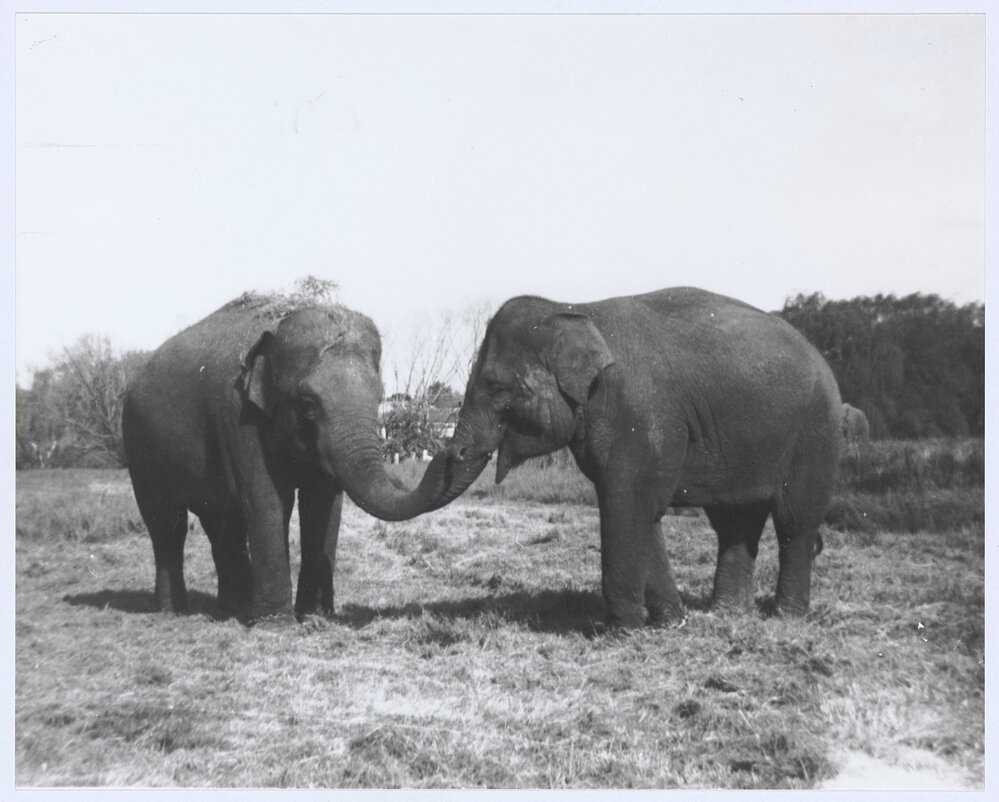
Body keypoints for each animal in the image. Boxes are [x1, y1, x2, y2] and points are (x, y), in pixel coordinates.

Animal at [122, 291, 448, 624]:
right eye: (308, 403)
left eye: (380, 397)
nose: (447, 453)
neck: (278, 326)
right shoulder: (238, 413)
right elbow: (268, 499)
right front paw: (276, 622)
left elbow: (321, 502)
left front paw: (314, 616)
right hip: (139, 447)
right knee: (166, 525)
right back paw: (173, 611)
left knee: (223, 523)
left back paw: (234, 609)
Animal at [413, 287, 842, 627]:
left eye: (496, 388)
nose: (453, 450)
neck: (573, 309)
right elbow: (642, 507)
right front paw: (671, 621)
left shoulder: (640, 410)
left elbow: (626, 498)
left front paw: (624, 629)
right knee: (736, 522)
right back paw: (726, 613)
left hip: (816, 433)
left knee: (794, 521)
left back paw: (787, 617)